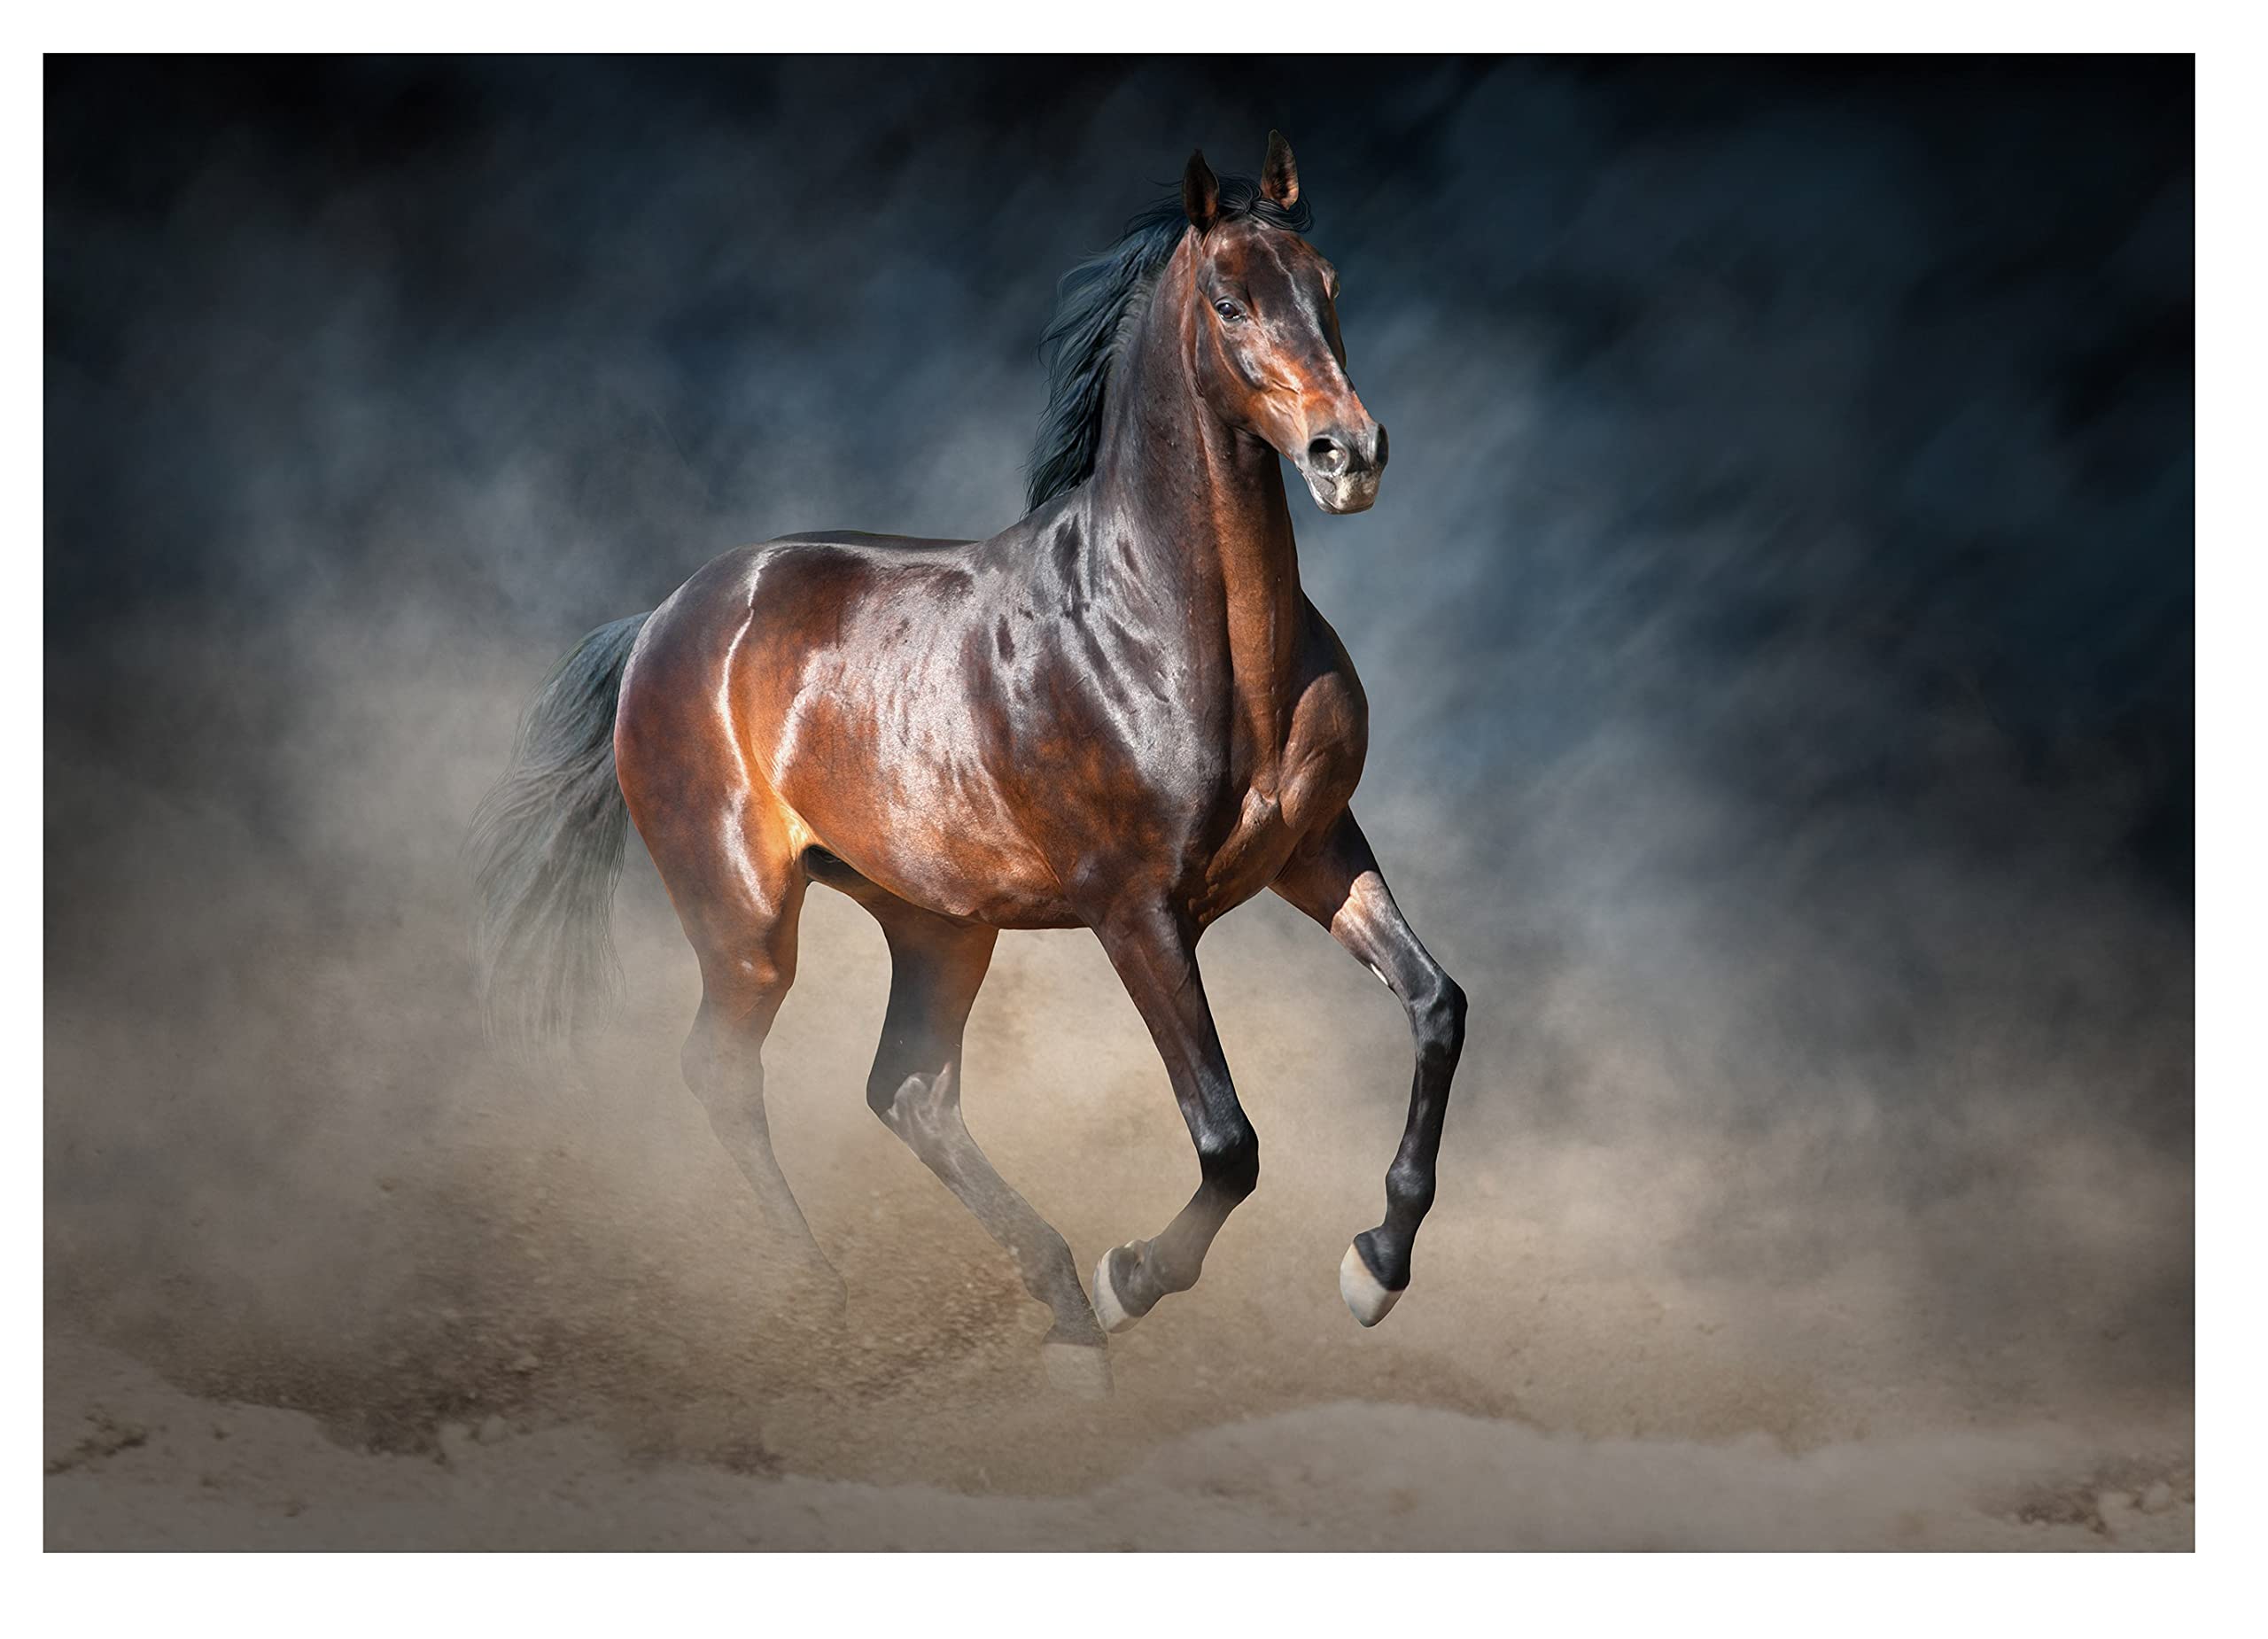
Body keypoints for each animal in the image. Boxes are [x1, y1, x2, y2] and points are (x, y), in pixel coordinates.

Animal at [472, 133, 1466, 1394]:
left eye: (1327, 281)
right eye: (1230, 299)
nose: (1351, 454)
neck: (1174, 631)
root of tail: (663, 617)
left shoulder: (1318, 849)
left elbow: (1437, 1008)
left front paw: (1373, 1269)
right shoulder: (1137, 910)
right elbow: (1227, 1139)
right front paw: (1134, 1276)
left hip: (938, 922)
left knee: (909, 1091)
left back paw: (1061, 1318)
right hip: (746, 921)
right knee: (725, 1073)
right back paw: (835, 1295)